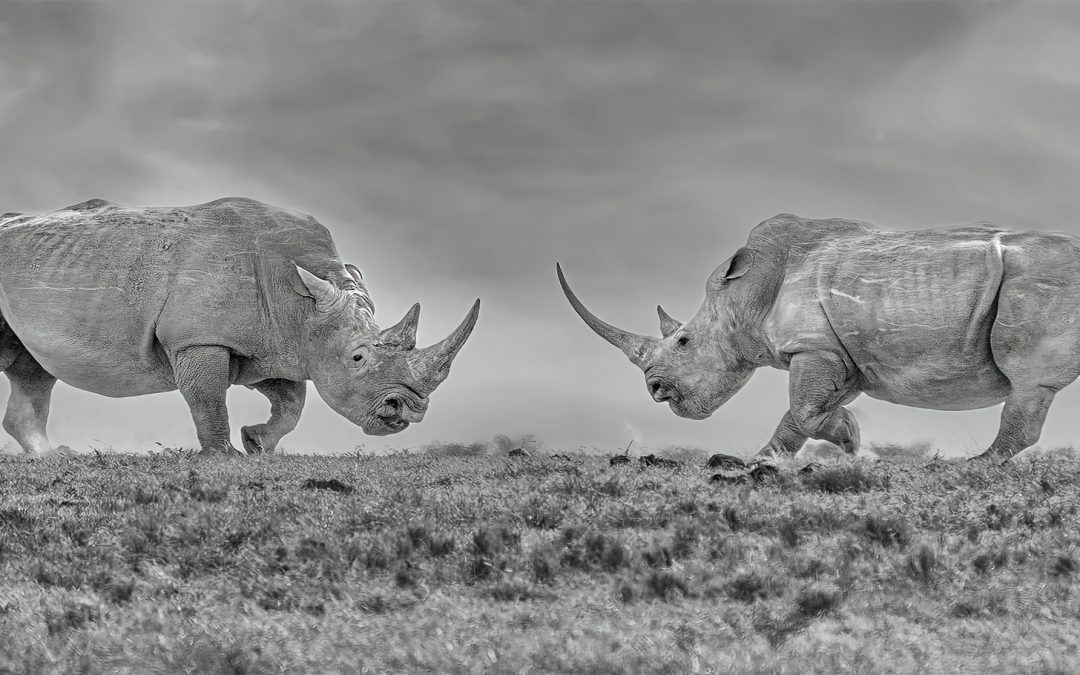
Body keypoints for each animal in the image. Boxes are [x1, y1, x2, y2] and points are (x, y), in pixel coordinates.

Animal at [0, 197, 480, 457]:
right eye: (358, 357)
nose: (408, 410)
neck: (301, 303)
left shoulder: (276, 345)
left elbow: (291, 403)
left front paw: (257, 445)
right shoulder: (200, 339)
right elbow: (208, 397)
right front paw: (224, 456)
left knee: (32, 369)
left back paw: (53, 458)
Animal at [558, 213, 1080, 461]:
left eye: (683, 342)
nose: (655, 389)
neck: (743, 296)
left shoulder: (815, 346)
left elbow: (805, 412)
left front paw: (850, 441)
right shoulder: (844, 357)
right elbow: (794, 419)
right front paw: (754, 462)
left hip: (1038, 284)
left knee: (1028, 381)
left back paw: (968, 466)